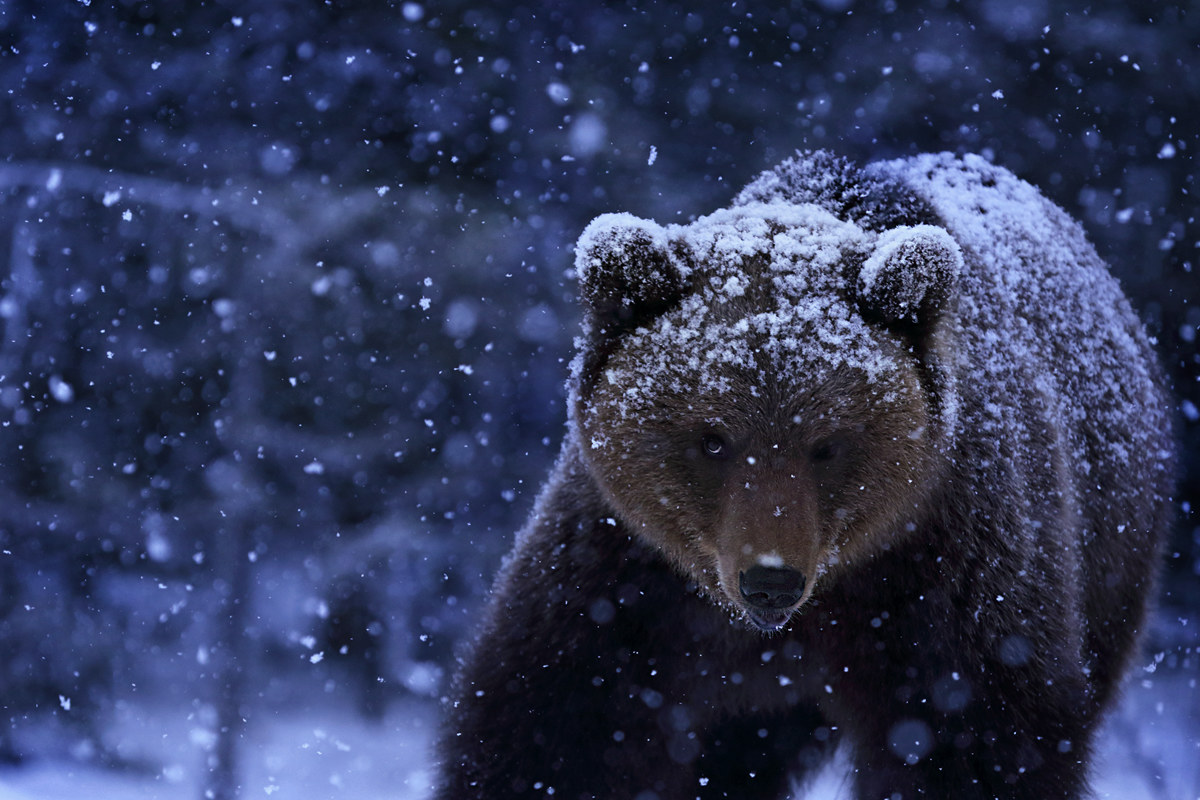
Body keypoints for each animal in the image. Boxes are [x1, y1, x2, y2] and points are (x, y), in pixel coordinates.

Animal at [434, 151, 1177, 800]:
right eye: (712, 439)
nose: (770, 579)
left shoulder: (946, 581)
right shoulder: (627, 578)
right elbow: (558, 731)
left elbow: (971, 743)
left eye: (827, 444)